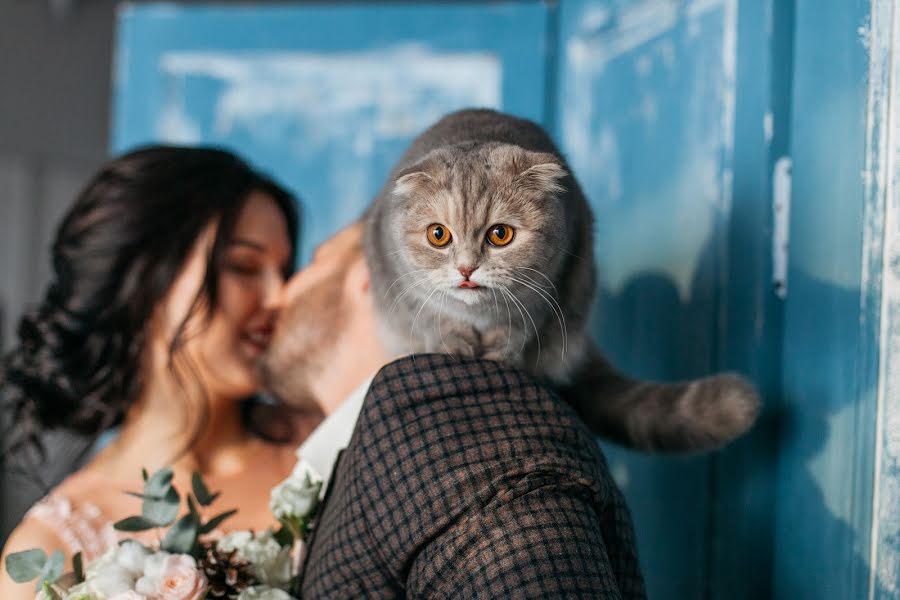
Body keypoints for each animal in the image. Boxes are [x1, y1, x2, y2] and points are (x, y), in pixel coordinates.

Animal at [362, 110, 756, 452]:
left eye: (500, 234)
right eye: (438, 235)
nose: (466, 269)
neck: (479, 318)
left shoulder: (551, 285)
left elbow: (519, 325)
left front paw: (499, 351)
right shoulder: (399, 285)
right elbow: (432, 317)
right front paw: (453, 342)